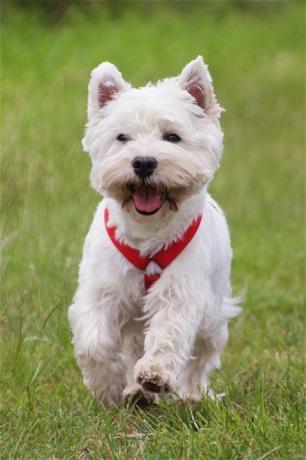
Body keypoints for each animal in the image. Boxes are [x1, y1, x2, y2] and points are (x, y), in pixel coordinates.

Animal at [67, 55, 241, 404]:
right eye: (122, 137)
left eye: (172, 137)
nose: (144, 162)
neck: (147, 230)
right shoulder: (101, 289)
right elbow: (94, 341)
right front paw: (108, 385)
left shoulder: (181, 290)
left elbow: (168, 332)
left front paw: (154, 374)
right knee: (133, 344)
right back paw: (136, 392)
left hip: (214, 314)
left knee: (201, 354)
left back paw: (188, 393)